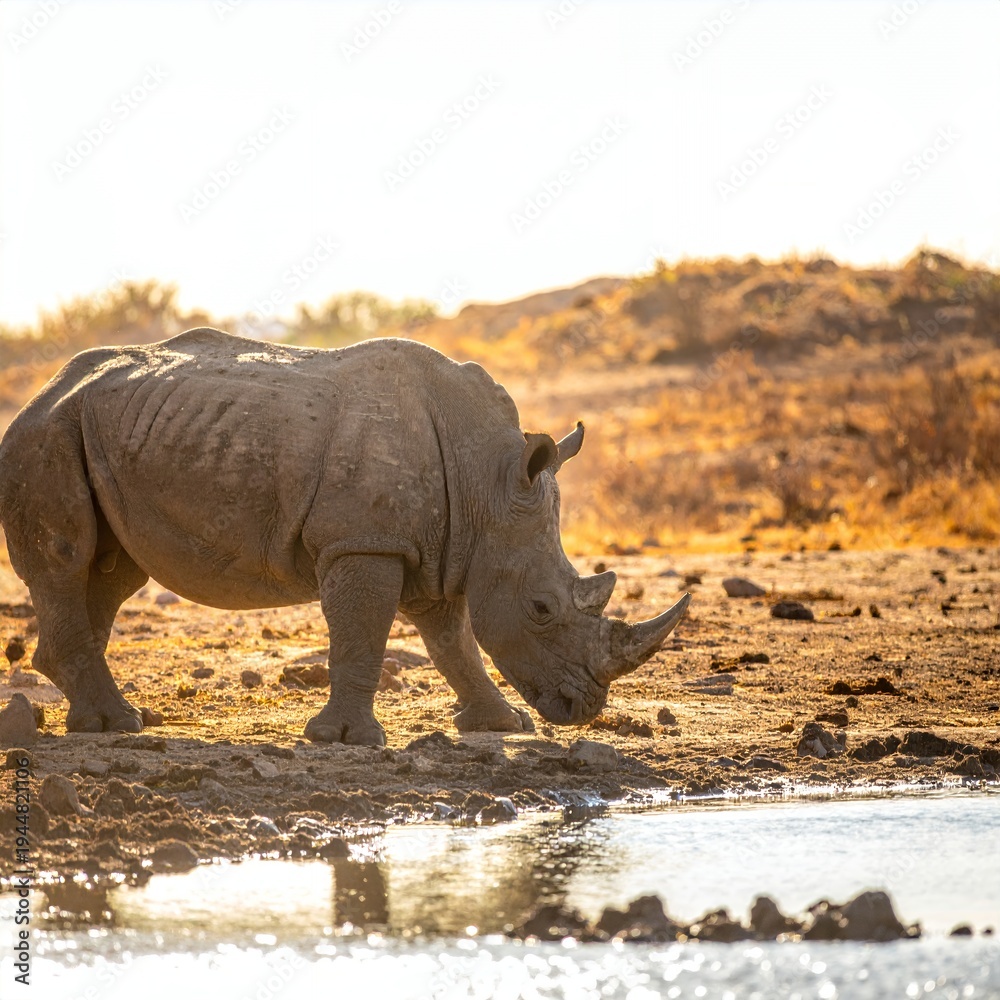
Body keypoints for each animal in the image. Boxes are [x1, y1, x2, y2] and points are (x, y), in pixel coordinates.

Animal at [0, 329, 689, 744]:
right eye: (542, 609)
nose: (584, 709)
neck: (487, 483)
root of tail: (43, 391)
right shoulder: (367, 540)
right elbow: (363, 634)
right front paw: (349, 741)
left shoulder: (441, 547)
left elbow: (454, 641)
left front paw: (503, 725)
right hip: (44, 433)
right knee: (68, 562)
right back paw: (116, 724)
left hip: (97, 428)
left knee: (111, 574)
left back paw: (105, 720)